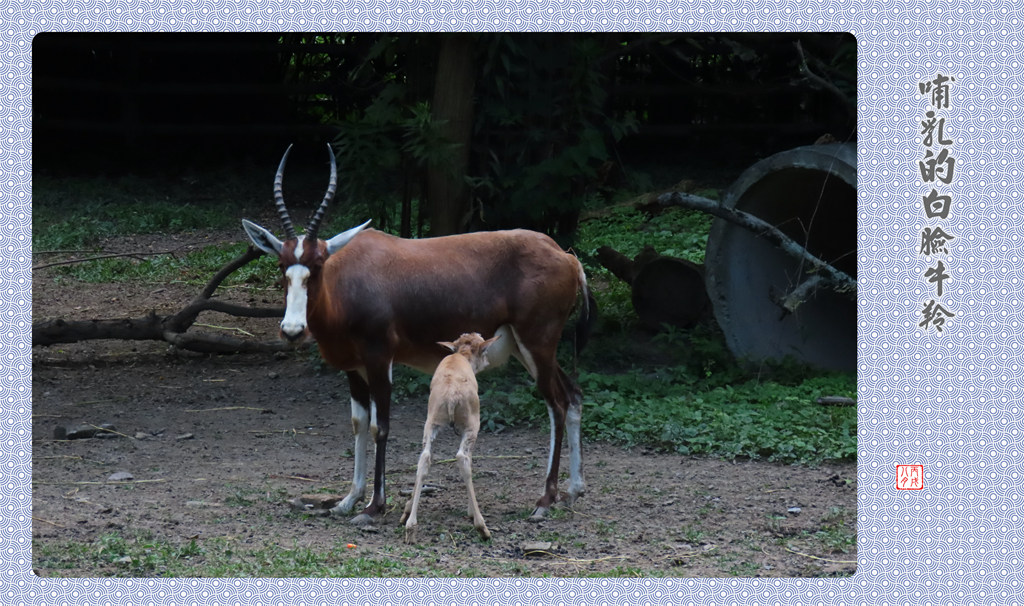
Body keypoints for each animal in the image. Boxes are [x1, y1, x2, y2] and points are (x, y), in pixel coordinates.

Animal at [241, 144, 593, 524]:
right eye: (282, 266)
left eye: (317, 265)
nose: (292, 330)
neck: (347, 276)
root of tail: (567, 258)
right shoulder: (354, 367)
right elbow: (358, 423)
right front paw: (348, 500)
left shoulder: (380, 358)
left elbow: (380, 426)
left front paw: (374, 507)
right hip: (528, 349)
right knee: (573, 394)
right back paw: (574, 490)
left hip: (537, 344)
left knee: (556, 404)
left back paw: (545, 500)